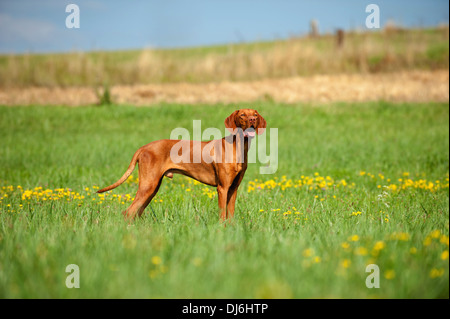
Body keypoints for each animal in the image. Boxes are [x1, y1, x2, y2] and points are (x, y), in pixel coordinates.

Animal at [98, 109, 266, 221]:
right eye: (242, 115)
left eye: (255, 114)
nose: (252, 119)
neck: (238, 147)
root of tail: (144, 147)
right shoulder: (222, 188)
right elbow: (222, 215)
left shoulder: (233, 188)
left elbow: (230, 215)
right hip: (148, 185)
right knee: (128, 212)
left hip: (152, 188)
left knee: (136, 212)